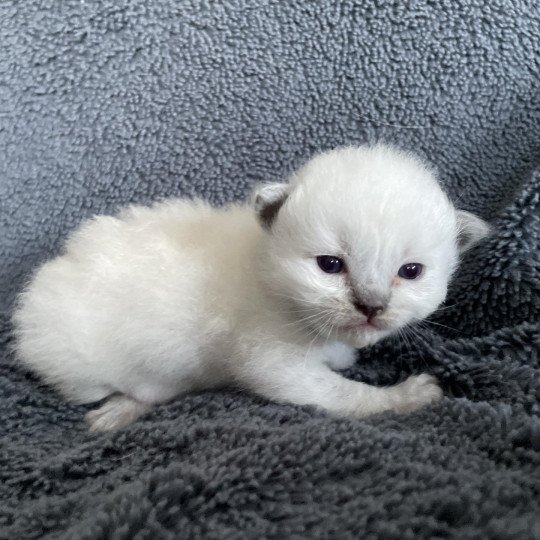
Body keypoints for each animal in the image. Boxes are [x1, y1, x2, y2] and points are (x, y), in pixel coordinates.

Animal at [11, 143, 490, 430]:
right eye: (330, 265)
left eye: (410, 271)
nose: (371, 306)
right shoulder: (269, 359)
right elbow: (341, 394)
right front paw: (407, 396)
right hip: (80, 360)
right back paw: (121, 410)